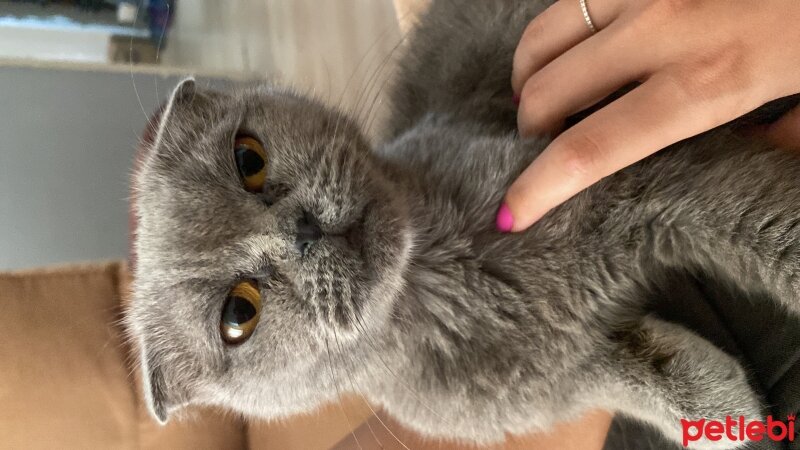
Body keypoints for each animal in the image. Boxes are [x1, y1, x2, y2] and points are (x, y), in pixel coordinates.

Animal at [125, 0, 800, 450]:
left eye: (249, 160)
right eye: (238, 315)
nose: (304, 230)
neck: (449, 274)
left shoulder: (643, 179)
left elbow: (768, 228)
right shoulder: (564, 379)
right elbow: (666, 382)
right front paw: (739, 422)